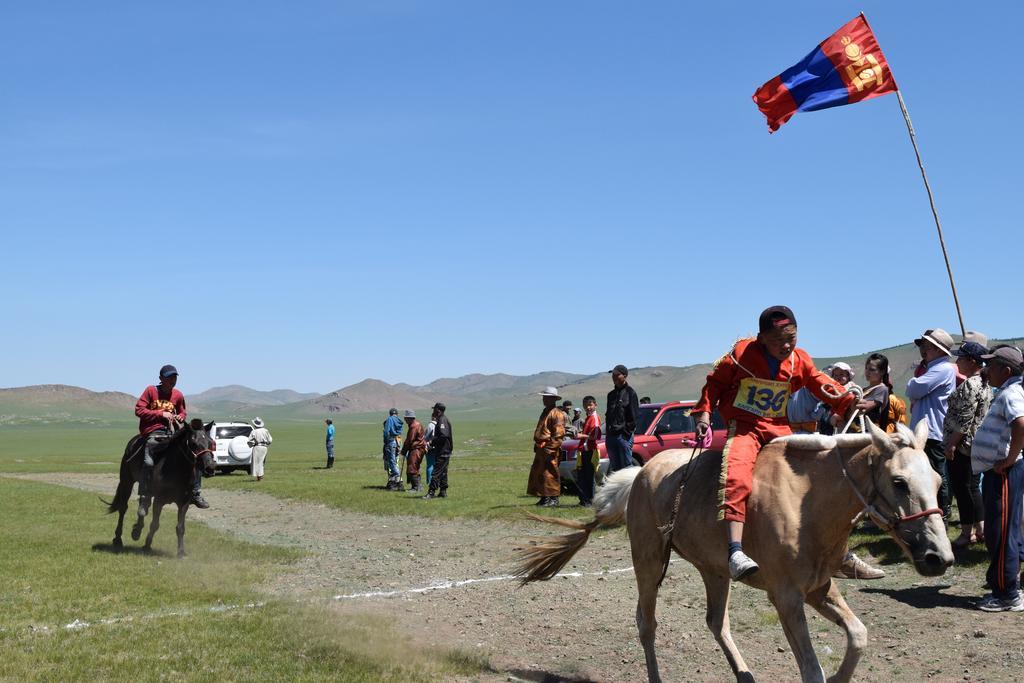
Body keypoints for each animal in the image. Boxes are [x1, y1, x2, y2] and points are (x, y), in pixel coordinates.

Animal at [104, 419, 216, 557]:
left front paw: (181, 552)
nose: (210, 467)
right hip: (127, 482)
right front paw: (147, 545)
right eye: (193, 443)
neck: (176, 470)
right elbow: (155, 524)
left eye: (211, 442)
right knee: (123, 508)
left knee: (143, 505)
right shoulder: (159, 500)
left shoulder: (184, 503)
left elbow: (180, 527)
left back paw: (137, 530)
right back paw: (118, 539)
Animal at [516, 421, 954, 683]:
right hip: (648, 562)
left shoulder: (819, 588)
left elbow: (858, 636)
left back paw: (745, 675)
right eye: (898, 482)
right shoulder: (787, 597)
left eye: (936, 480)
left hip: (715, 571)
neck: (807, 504)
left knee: (716, 621)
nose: (940, 558)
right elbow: (811, 669)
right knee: (647, 623)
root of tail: (641, 473)